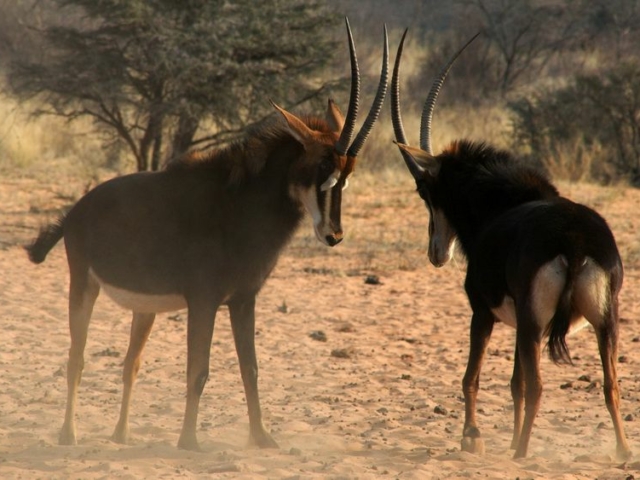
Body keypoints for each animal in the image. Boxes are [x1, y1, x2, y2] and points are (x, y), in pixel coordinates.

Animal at [26, 19, 389, 452]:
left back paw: (121, 434)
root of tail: (76, 211)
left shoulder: (243, 300)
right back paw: (69, 434)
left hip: (143, 308)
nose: (333, 234)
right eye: (322, 166)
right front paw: (189, 442)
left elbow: (251, 369)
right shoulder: (205, 301)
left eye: (347, 174)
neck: (242, 205)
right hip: (83, 285)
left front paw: (261, 437)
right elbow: (198, 370)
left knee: (130, 363)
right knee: (76, 359)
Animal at [391, 31, 632, 460]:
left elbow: (473, 378)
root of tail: (574, 243)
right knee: (610, 386)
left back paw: (521, 452)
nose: (436, 254)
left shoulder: (482, 312)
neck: (504, 200)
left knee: (537, 386)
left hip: (535, 322)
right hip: (603, 321)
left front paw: (473, 437)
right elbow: (513, 384)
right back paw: (620, 452)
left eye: (425, 190)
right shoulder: (520, 322)